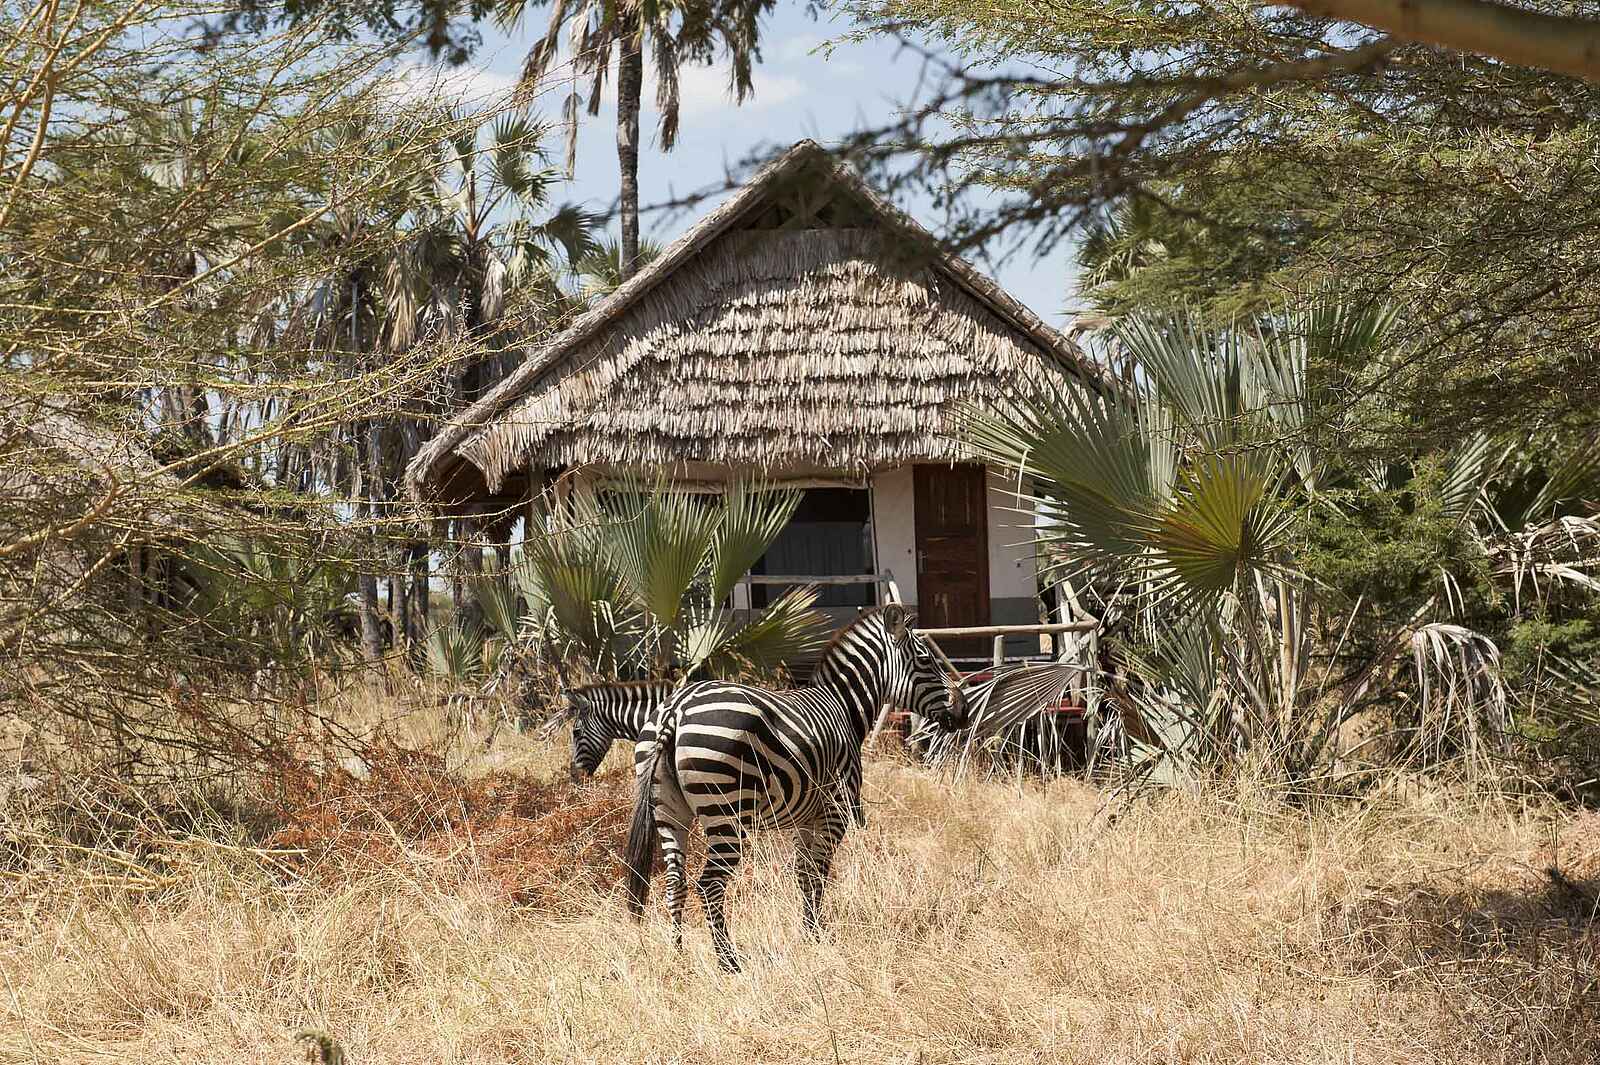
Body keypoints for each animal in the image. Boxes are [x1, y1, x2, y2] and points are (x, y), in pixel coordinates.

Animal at [623, 604, 967, 971]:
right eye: (926, 661)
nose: (963, 712)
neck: (843, 705)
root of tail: (676, 708)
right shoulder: (834, 810)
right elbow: (818, 873)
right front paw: (818, 936)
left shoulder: (804, 816)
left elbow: (802, 874)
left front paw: (809, 932)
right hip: (727, 812)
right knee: (710, 884)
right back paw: (728, 962)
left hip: (668, 810)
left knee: (675, 881)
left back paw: (678, 956)